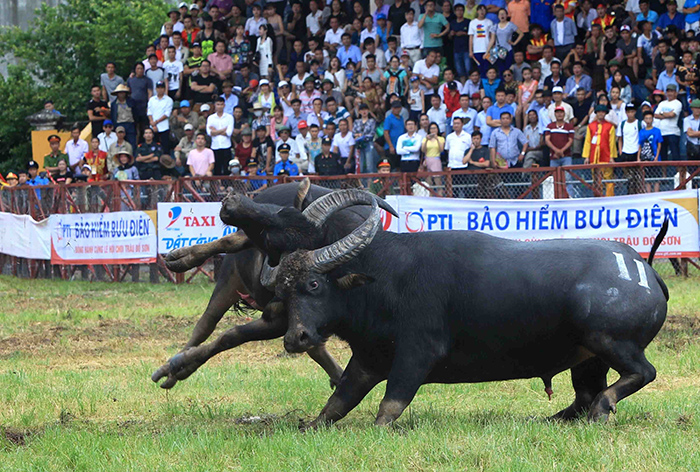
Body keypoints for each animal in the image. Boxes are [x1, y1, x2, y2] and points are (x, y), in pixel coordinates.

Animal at [150, 181, 396, 390]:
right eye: (284, 213)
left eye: (271, 241)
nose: (232, 200)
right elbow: (229, 335)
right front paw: (177, 366)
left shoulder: (285, 322)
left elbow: (233, 335)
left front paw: (180, 366)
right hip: (230, 277)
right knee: (206, 322)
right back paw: (180, 259)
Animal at [245, 189, 668, 428]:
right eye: (283, 290)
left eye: (314, 284)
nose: (296, 338)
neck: (386, 278)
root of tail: (643, 268)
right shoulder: (367, 360)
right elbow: (336, 404)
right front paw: (308, 425)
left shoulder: (417, 353)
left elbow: (390, 405)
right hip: (586, 358)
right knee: (583, 397)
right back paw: (553, 418)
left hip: (606, 339)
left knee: (640, 373)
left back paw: (602, 408)